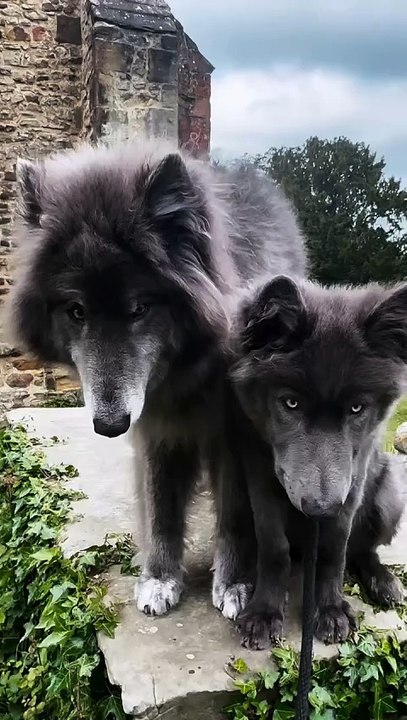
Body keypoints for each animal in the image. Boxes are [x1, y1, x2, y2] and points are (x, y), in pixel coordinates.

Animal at [8, 140, 307, 618]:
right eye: (76, 311)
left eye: (138, 309)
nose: (109, 425)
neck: (185, 372)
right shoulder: (156, 431)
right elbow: (161, 509)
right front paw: (160, 579)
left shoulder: (233, 440)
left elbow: (235, 517)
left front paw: (235, 583)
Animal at [229, 275, 406, 648]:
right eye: (291, 403)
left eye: (357, 408)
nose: (320, 509)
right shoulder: (260, 478)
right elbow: (274, 547)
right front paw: (265, 612)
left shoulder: (351, 484)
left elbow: (334, 549)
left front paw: (330, 609)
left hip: (390, 496)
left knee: (362, 550)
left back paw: (383, 580)